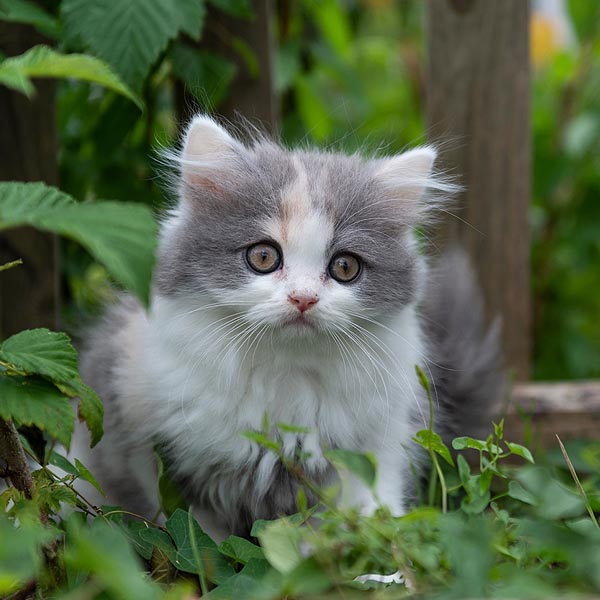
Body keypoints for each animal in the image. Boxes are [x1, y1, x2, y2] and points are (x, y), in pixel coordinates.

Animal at [76, 115, 506, 536]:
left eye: (345, 266)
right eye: (264, 257)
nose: (303, 298)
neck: (285, 376)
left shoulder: (377, 441)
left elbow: (369, 507)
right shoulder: (155, 448)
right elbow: (195, 531)